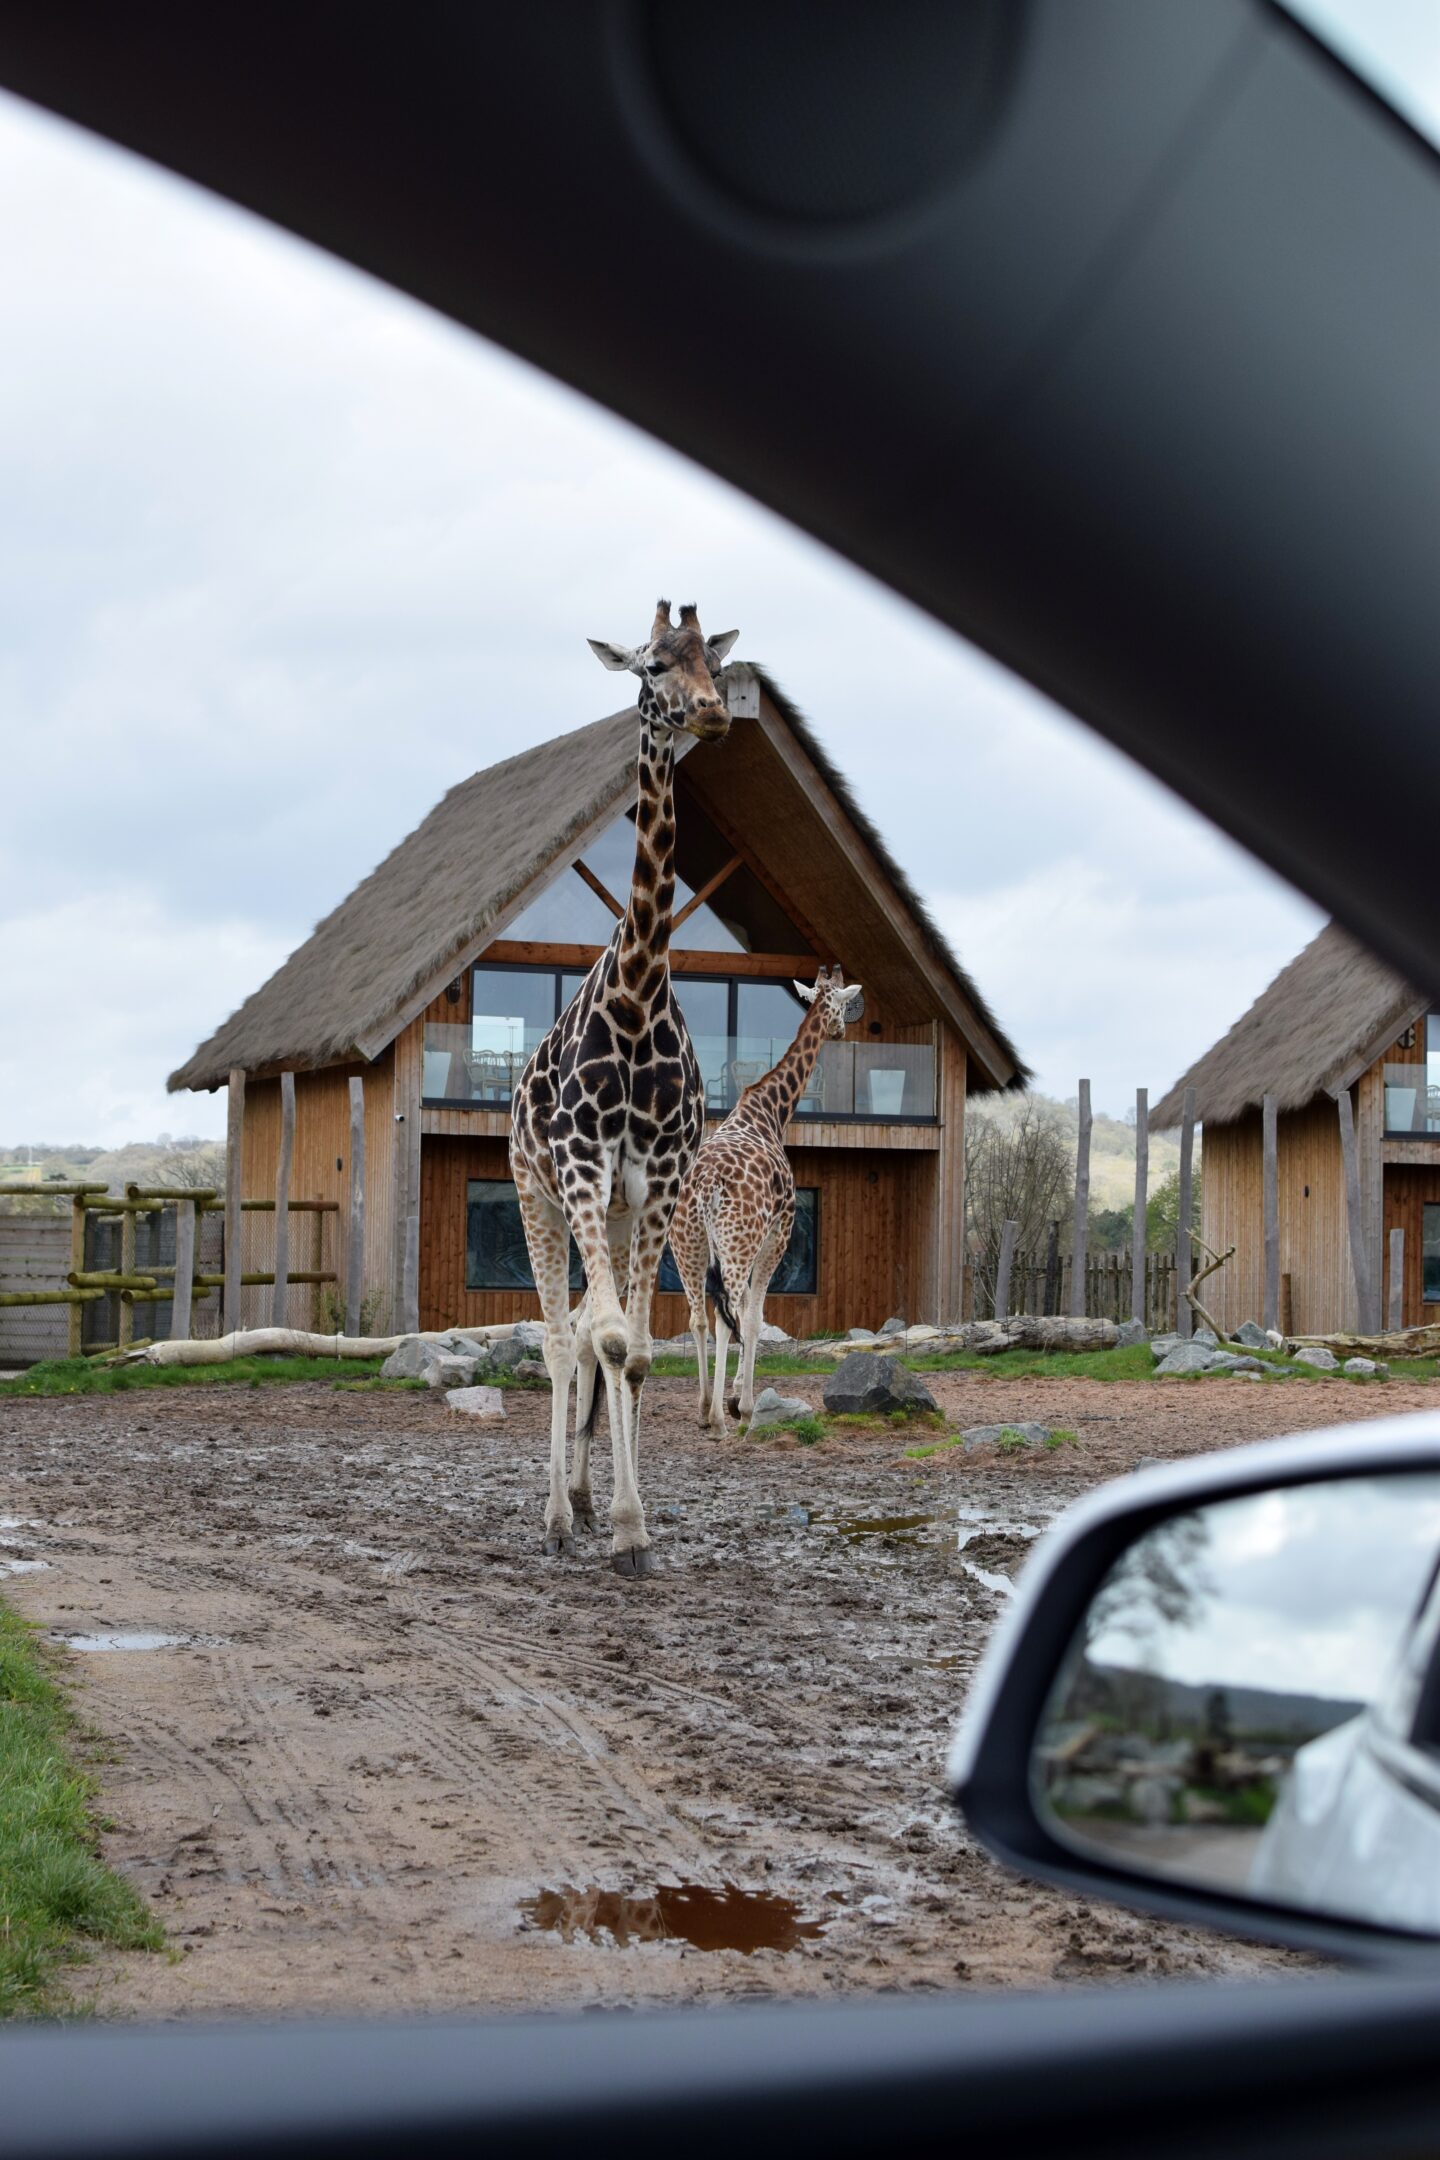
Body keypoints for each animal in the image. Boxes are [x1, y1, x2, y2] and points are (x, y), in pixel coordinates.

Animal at [669, 966, 863, 1434]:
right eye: (843, 1004)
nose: (841, 1030)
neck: (772, 1112)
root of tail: (706, 1186)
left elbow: (742, 1314)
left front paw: (736, 1390)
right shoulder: (779, 1234)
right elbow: (754, 1319)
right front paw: (744, 1401)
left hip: (688, 1248)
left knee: (699, 1318)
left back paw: (703, 1408)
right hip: (735, 1245)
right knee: (724, 1320)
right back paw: (723, 1417)